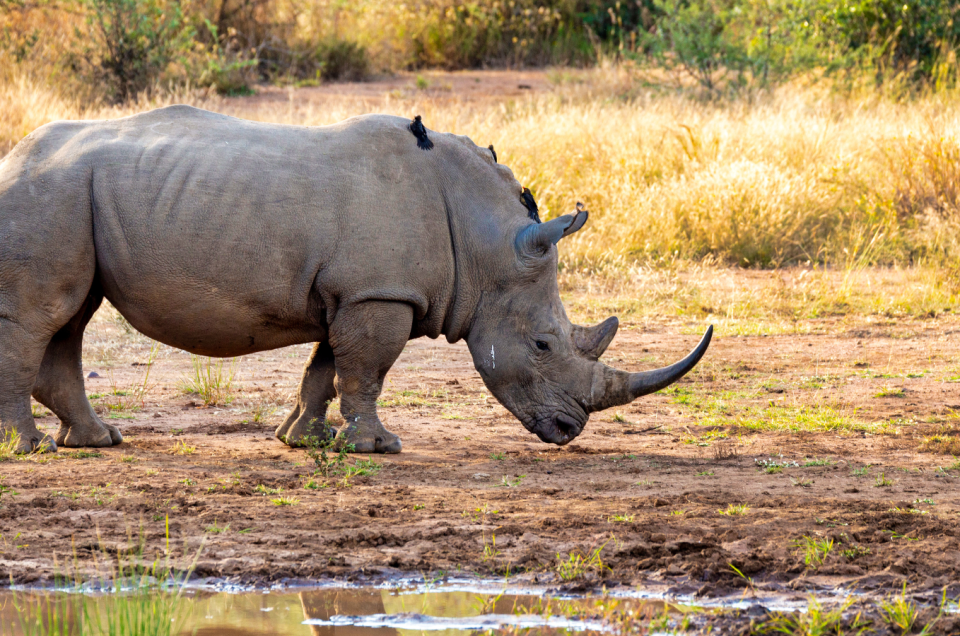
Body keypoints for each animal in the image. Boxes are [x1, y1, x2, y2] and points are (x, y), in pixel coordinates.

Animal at [0, 105, 708, 452]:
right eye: (542, 345)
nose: (569, 431)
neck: (486, 244)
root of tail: (13, 155)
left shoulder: (354, 290)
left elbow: (325, 367)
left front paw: (301, 440)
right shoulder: (380, 293)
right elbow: (367, 369)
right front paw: (376, 447)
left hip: (74, 197)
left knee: (70, 317)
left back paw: (96, 442)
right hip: (49, 190)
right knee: (42, 318)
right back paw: (29, 449)